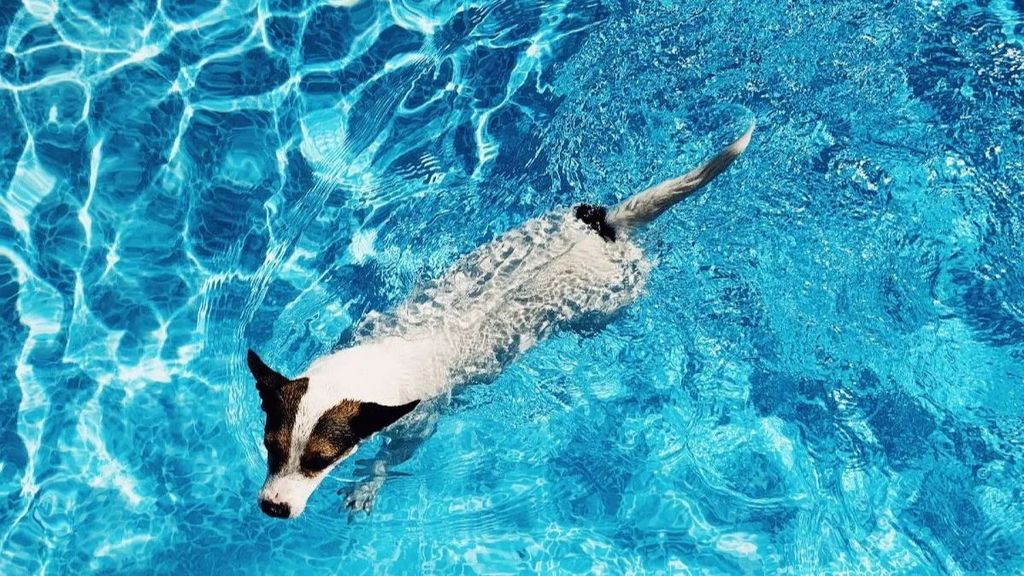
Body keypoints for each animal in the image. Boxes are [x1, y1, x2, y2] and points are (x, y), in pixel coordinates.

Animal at [247, 124, 753, 516]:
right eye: (271, 446)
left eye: (320, 460)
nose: (273, 507)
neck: (374, 364)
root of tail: (607, 225)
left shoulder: (419, 422)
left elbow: (389, 459)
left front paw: (367, 484)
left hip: (613, 300)